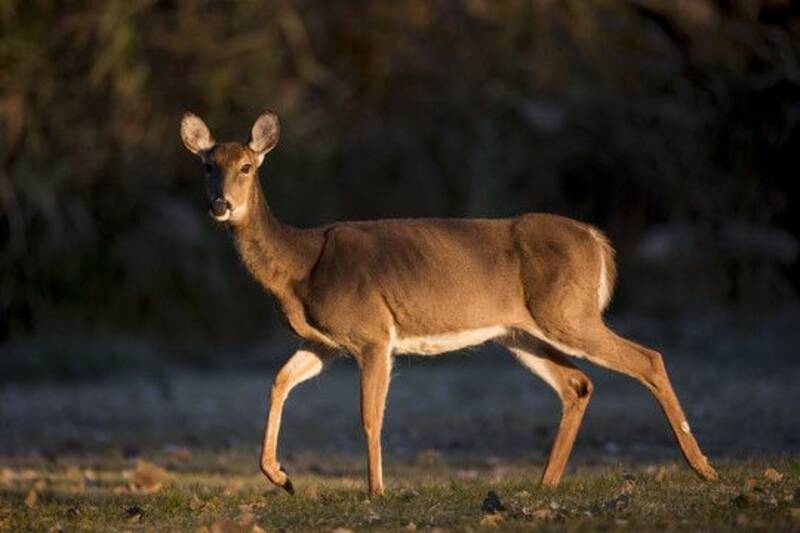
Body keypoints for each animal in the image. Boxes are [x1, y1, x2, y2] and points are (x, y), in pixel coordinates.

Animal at [180, 111, 718, 498]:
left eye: (247, 166)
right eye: (208, 166)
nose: (220, 204)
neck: (300, 264)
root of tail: (597, 240)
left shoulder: (373, 333)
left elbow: (369, 415)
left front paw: (376, 491)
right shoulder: (325, 343)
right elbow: (278, 381)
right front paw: (281, 476)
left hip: (569, 313)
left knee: (649, 357)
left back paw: (703, 468)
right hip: (519, 332)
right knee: (578, 384)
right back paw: (545, 482)